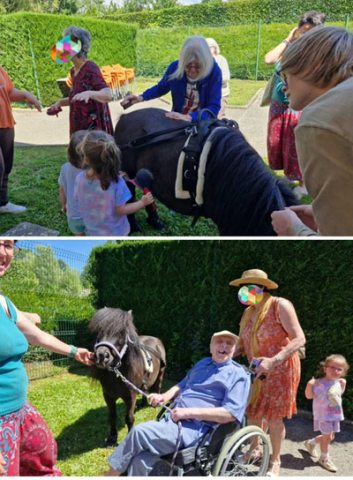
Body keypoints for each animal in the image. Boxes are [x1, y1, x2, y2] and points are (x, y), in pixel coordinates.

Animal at [88, 308, 165, 446]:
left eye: (121, 333)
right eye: (99, 331)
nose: (101, 356)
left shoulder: (130, 396)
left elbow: (129, 418)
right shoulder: (108, 396)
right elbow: (112, 416)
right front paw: (112, 438)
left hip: (160, 374)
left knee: (157, 387)